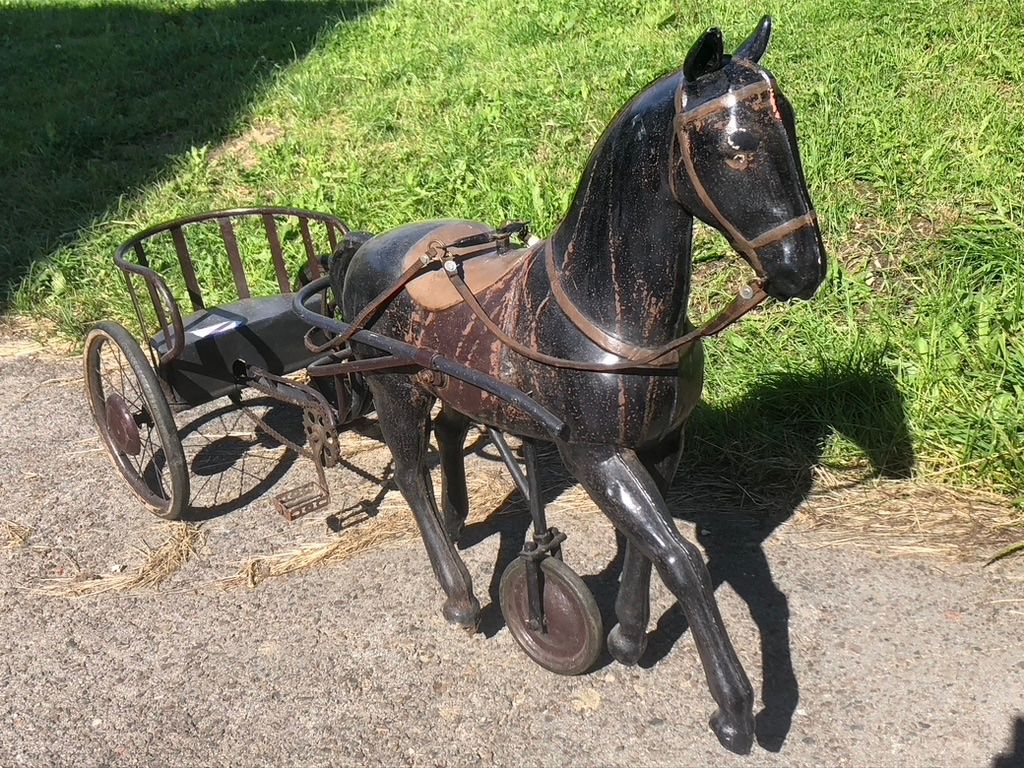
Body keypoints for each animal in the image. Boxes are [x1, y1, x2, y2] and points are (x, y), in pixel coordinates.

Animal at [330, 17, 826, 754]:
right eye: (736, 145)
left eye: (789, 125)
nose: (804, 268)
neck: (607, 312)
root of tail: (366, 247)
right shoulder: (594, 453)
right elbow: (681, 558)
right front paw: (735, 713)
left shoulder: (660, 445)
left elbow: (646, 547)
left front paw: (625, 636)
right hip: (396, 391)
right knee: (412, 475)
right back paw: (460, 597)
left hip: (455, 385)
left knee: (448, 434)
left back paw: (460, 519)